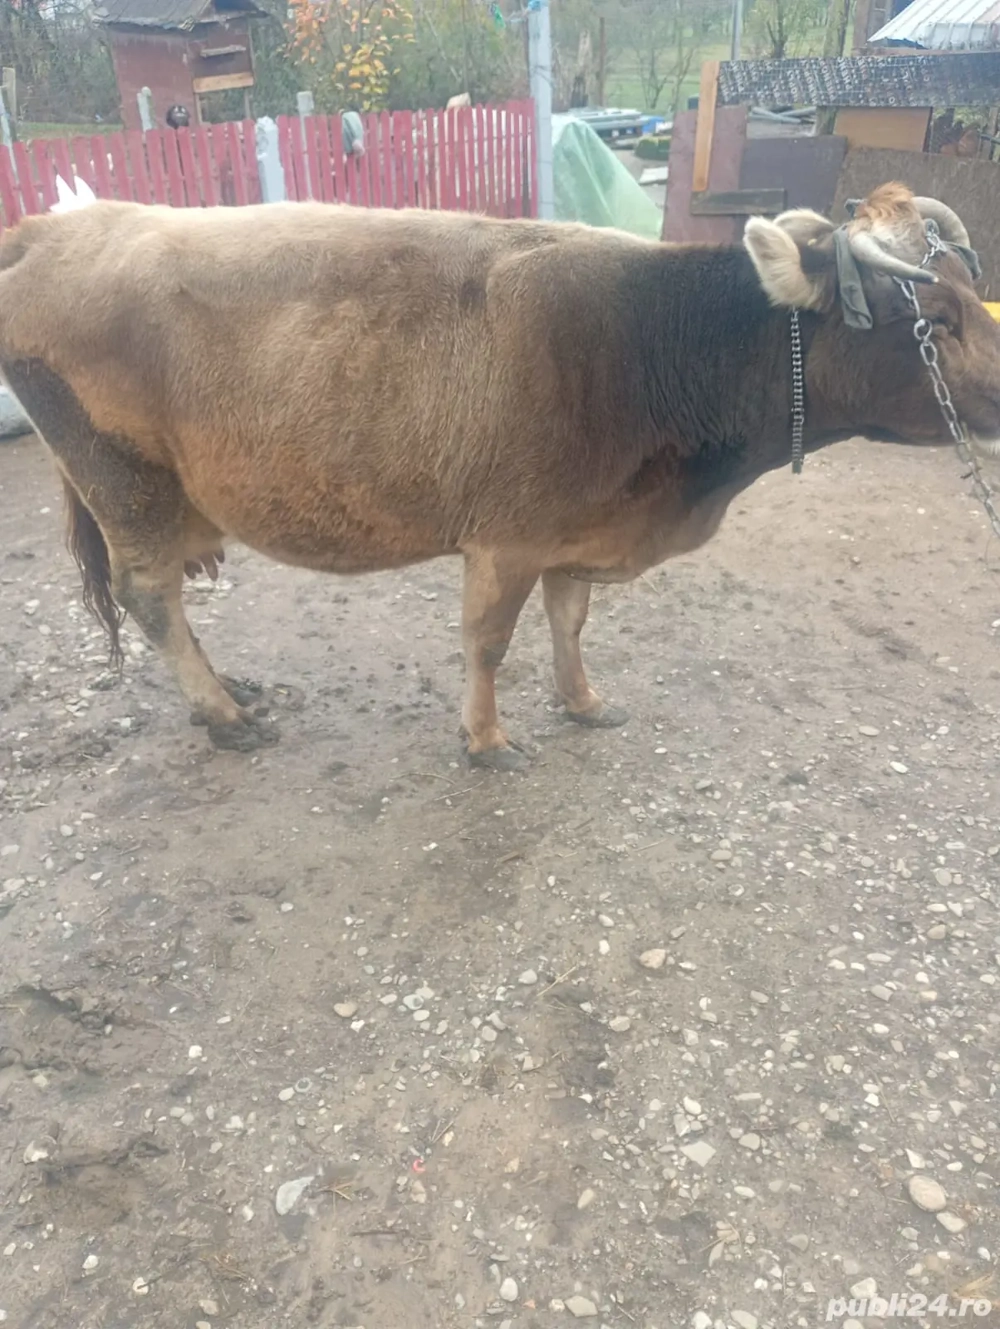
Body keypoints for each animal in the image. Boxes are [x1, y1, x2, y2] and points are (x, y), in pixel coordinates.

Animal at [0, 183, 998, 769]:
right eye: (935, 321)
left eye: (963, 303)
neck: (650, 341)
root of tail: (55, 226)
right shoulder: (505, 538)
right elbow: (488, 642)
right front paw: (485, 737)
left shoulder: (573, 529)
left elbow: (570, 620)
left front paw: (582, 700)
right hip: (126, 484)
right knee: (151, 596)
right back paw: (224, 714)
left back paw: (231, 690)